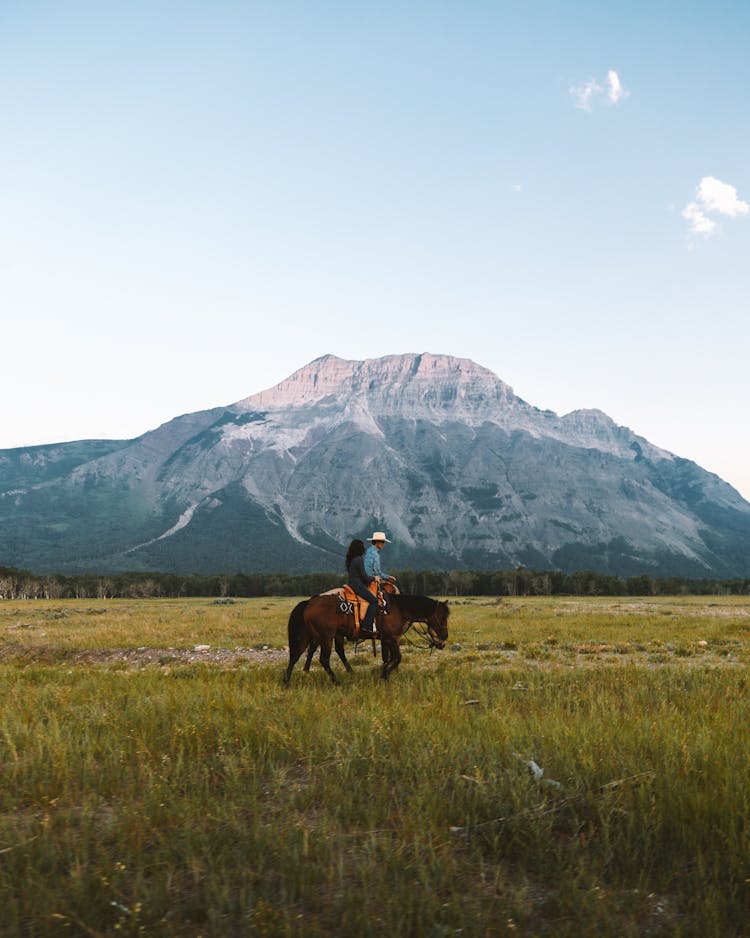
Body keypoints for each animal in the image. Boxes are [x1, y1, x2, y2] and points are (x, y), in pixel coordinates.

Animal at [282, 592, 446, 688]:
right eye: (442, 618)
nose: (444, 639)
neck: (399, 609)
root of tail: (309, 603)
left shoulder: (388, 640)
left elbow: (389, 658)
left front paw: (383, 673)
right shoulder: (392, 638)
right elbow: (397, 658)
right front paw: (384, 675)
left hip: (309, 635)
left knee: (296, 655)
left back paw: (287, 682)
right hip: (326, 636)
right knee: (323, 659)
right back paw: (337, 682)